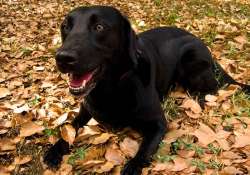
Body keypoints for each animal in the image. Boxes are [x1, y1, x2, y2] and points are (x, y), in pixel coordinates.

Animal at [45, 5, 250, 175]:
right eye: (65, 26)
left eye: (99, 27)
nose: (63, 58)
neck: (111, 87)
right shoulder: (85, 111)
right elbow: (69, 126)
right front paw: (54, 150)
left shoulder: (158, 123)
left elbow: (145, 150)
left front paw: (132, 166)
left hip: (190, 61)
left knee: (212, 89)